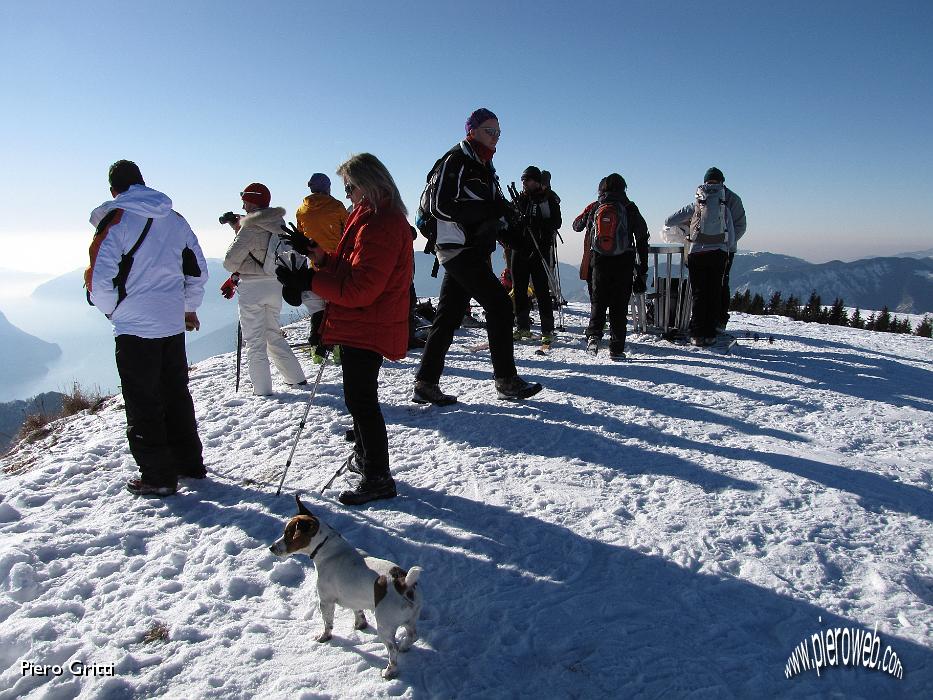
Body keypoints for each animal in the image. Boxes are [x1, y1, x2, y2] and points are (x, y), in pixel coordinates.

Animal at [268, 492, 424, 680]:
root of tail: (402, 582)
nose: (271, 547)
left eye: (288, 534)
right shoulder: (354, 598)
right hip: (410, 619)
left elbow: (327, 623)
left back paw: (390, 670)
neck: (326, 548)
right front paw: (360, 625)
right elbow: (358, 612)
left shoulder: (326, 601)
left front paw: (324, 637)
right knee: (412, 635)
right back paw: (404, 647)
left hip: (385, 626)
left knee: (392, 650)